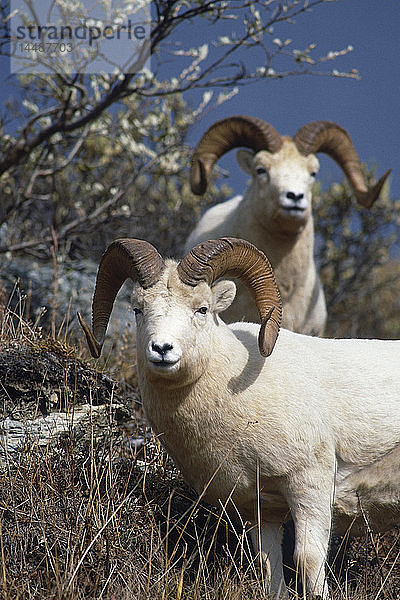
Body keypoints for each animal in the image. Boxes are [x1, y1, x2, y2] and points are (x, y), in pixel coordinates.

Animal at [78, 237, 400, 596]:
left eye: (202, 309)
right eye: (137, 309)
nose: (162, 349)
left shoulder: (310, 485)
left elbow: (308, 560)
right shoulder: (261, 509)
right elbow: (269, 570)